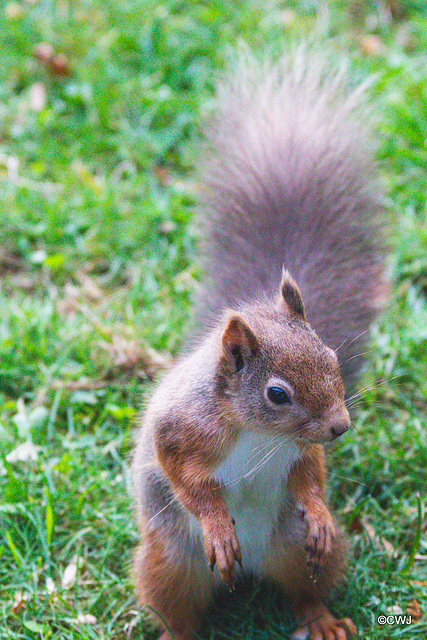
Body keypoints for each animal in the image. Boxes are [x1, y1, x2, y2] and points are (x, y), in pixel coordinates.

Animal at [131, 52, 388, 640]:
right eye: (276, 393)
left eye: (332, 359)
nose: (340, 426)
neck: (257, 433)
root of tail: (253, 569)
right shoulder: (182, 428)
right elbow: (184, 477)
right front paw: (216, 524)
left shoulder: (304, 448)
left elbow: (310, 472)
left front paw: (318, 508)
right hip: (169, 562)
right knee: (178, 610)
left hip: (300, 550)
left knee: (304, 590)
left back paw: (321, 620)